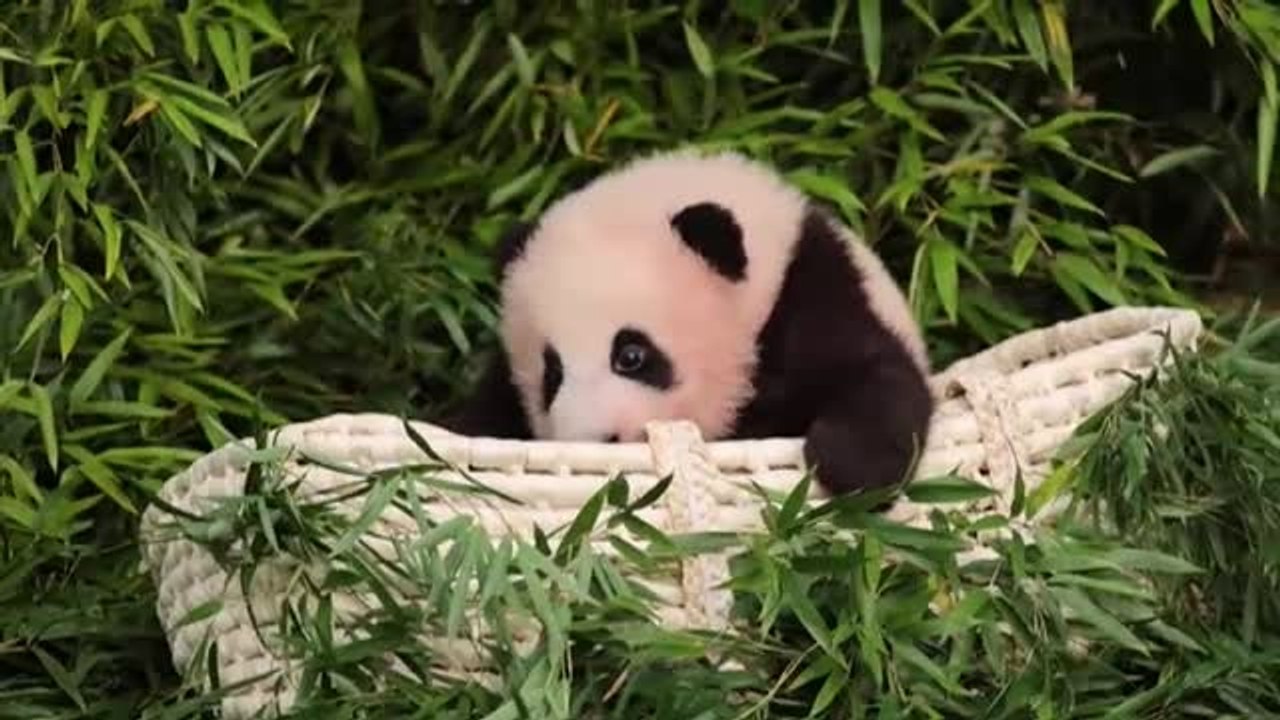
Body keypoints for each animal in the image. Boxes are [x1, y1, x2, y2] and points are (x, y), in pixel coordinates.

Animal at [439, 148, 934, 497]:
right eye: (551, 374)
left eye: (631, 355)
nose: (596, 438)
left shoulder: (810, 293)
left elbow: (873, 371)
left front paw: (851, 464)